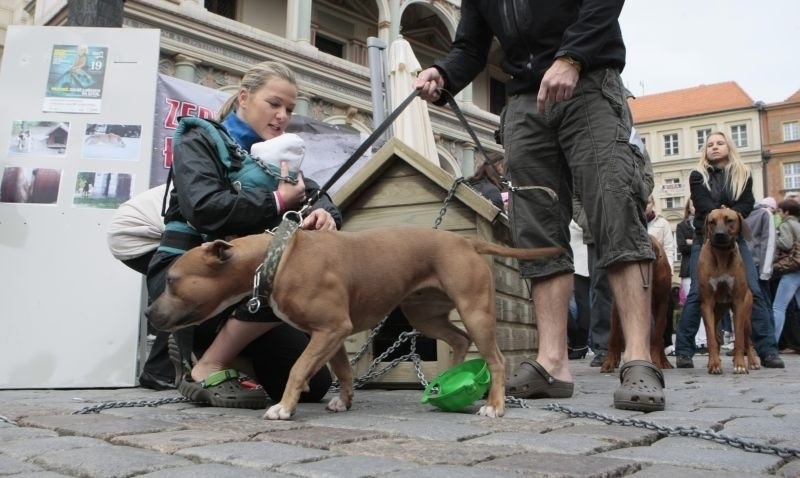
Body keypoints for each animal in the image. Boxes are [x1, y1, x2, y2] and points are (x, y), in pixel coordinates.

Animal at [148, 227, 564, 418]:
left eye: (171, 281)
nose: (150, 313)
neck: (276, 258)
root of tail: (466, 242)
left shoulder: (330, 329)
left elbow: (298, 369)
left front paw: (284, 407)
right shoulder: (332, 334)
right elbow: (343, 371)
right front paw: (344, 401)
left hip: (475, 310)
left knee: (496, 359)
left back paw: (494, 405)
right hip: (425, 314)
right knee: (460, 340)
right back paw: (450, 381)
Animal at [600, 235, 676, 374]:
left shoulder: (662, 302)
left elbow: (658, 335)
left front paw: (657, 360)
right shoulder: (616, 305)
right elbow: (613, 334)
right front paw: (609, 362)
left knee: (660, 336)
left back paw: (664, 361)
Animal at [696, 207, 760, 376]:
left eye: (729, 220)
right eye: (711, 222)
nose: (719, 234)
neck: (722, 254)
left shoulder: (738, 303)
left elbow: (739, 338)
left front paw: (740, 365)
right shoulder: (707, 304)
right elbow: (711, 339)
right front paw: (714, 364)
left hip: (746, 314)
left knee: (747, 339)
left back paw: (752, 362)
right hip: (716, 313)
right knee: (716, 336)